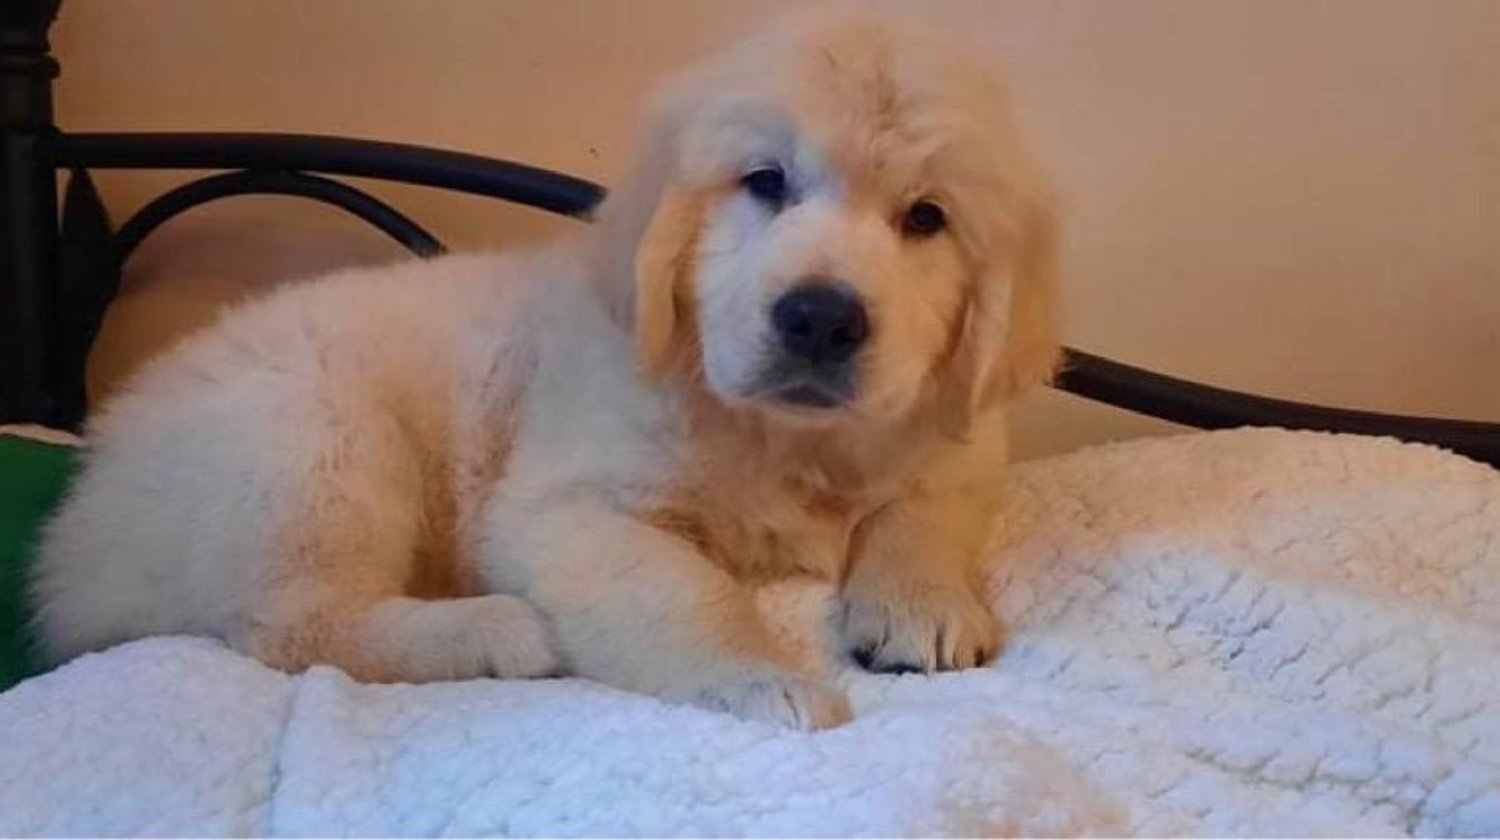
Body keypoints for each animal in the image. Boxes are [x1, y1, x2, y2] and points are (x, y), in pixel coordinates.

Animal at [32, 10, 1059, 730]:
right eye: (764, 182)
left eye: (926, 218)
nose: (819, 318)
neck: (783, 438)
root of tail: (80, 530)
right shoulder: (565, 511)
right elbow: (685, 591)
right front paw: (758, 678)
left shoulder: (956, 437)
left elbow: (923, 507)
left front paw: (922, 604)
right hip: (314, 443)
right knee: (287, 627)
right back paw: (494, 630)